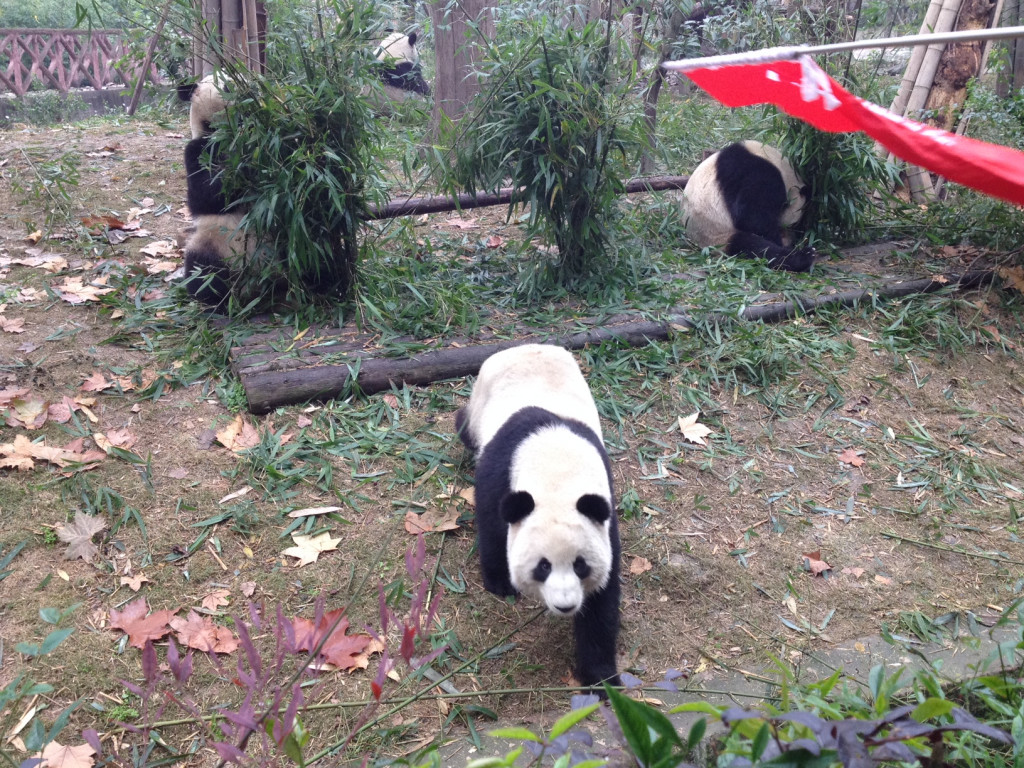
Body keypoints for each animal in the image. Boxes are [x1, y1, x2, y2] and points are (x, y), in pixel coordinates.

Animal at [458, 342, 622, 692]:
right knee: (465, 426)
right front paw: (500, 583)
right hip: (481, 398)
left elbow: (602, 601)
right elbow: (492, 524)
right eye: (543, 566)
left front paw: (601, 679)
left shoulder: (602, 513)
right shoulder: (501, 467)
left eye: (580, 565)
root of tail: (527, 346)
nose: (565, 605)